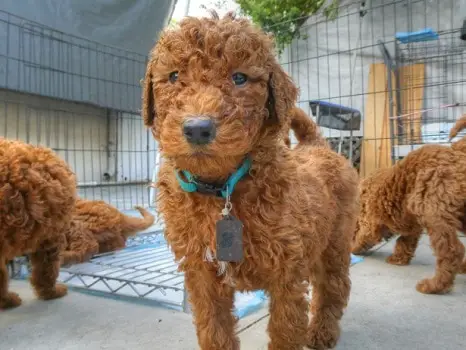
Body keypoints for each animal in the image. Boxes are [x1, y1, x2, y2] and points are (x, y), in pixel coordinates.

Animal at [140, 12, 358, 348]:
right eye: (174, 76)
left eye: (239, 78)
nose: (197, 128)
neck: (221, 189)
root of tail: (315, 146)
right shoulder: (202, 274)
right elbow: (214, 329)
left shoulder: (287, 273)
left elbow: (284, 332)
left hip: (335, 241)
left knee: (333, 287)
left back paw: (322, 332)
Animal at [354, 115, 466, 296]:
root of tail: (457, 152)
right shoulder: (412, 224)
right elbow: (404, 240)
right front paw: (398, 258)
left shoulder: (369, 220)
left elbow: (363, 236)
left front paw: (353, 247)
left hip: (434, 212)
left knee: (451, 251)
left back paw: (434, 286)